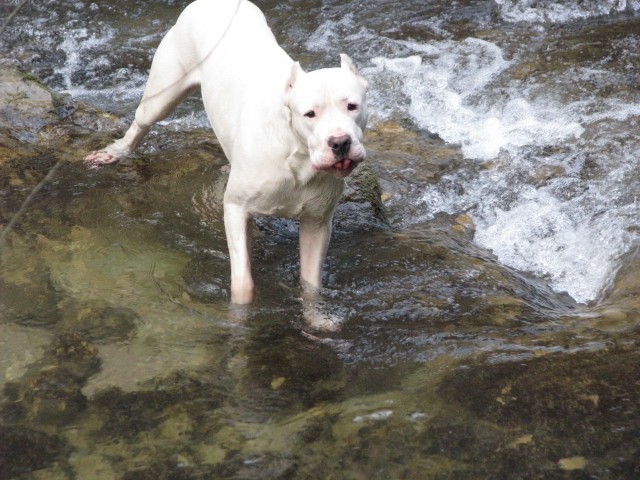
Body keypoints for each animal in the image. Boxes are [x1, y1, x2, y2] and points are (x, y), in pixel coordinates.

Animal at [84, 0, 370, 304]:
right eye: (310, 114)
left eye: (352, 106)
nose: (339, 142)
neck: (295, 155)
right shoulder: (235, 208)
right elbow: (243, 281)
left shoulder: (317, 224)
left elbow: (310, 285)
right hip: (163, 91)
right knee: (142, 122)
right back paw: (115, 152)